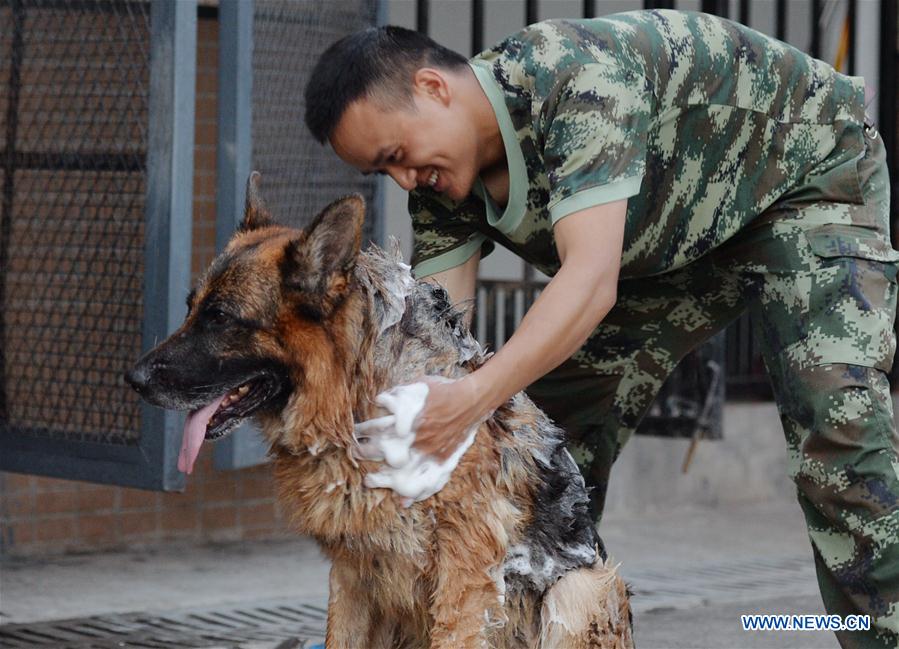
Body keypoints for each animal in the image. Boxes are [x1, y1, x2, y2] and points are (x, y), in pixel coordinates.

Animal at [126, 173, 632, 648]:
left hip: (581, 589)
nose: (132, 378)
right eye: (191, 309)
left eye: (221, 318)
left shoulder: (465, 578)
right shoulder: (352, 570)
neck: (353, 401)